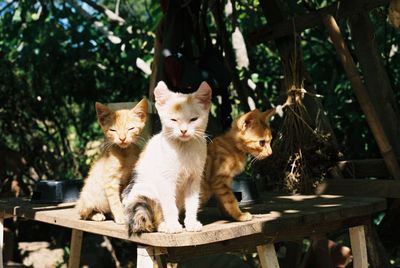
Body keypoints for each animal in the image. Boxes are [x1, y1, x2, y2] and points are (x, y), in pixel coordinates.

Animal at [122, 80, 212, 233]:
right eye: (173, 120)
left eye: (193, 119)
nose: (183, 130)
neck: (184, 149)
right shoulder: (166, 180)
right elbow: (169, 205)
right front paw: (173, 225)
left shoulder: (194, 179)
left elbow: (192, 203)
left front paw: (191, 223)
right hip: (145, 191)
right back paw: (163, 225)